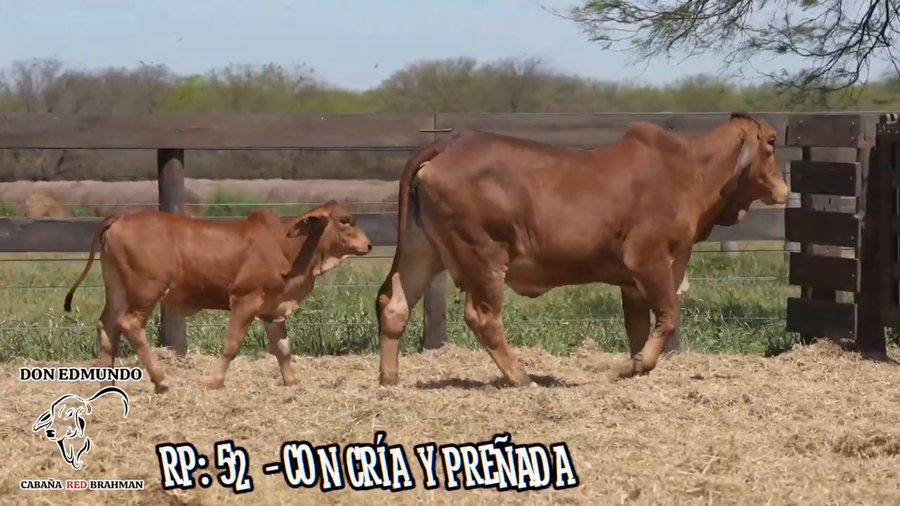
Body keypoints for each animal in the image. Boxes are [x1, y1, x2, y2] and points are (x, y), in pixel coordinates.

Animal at [63, 201, 373, 393]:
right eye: (344, 221)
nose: (368, 245)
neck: (287, 247)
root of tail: (120, 218)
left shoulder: (272, 309)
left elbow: (283, 348)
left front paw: (292, 382)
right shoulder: (246, 300)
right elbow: (231, 344)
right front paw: (214, 382)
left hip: (116, 289)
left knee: (107, 325)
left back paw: (107, 384)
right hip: (145, 292)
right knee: (129, 325)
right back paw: (161, 381)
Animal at [375, 112, 789, 387]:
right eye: (770, 142)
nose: (783, 190)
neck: (688, 172)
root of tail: (447, 142)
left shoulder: (630, 281)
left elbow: (638, 327)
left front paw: (635, 365)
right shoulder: (651, 260)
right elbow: (669, 316)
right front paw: (637, 365)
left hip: (422, 251)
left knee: (393, 305)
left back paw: (390, 378)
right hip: (483, 257)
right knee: (483, 317)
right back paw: (522, 377)